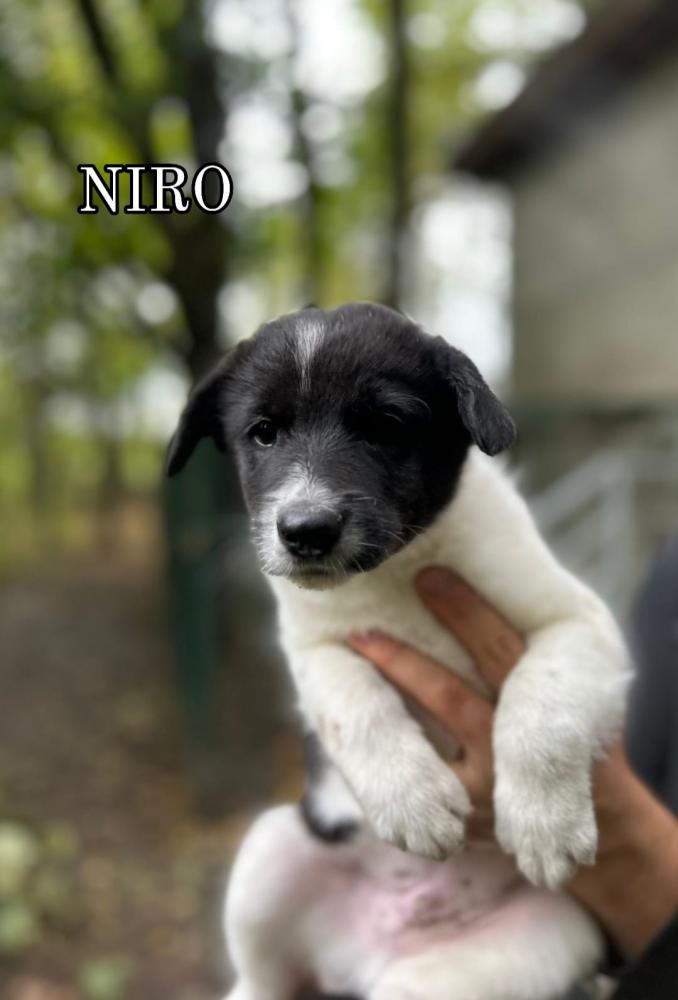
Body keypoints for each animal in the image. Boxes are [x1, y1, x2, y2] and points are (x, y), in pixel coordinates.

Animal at [167, 302, 631, 1000]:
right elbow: (354, 702)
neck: (400, 569)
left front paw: (543, 823)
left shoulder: (579, 623)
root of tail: (372, 952)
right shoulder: (314, 648)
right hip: (271, 851)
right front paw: (412, 799)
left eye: (387, 426)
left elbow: (542, 706)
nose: (305, 531)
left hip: (514, 950)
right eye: (264, 433)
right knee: (264, 980)